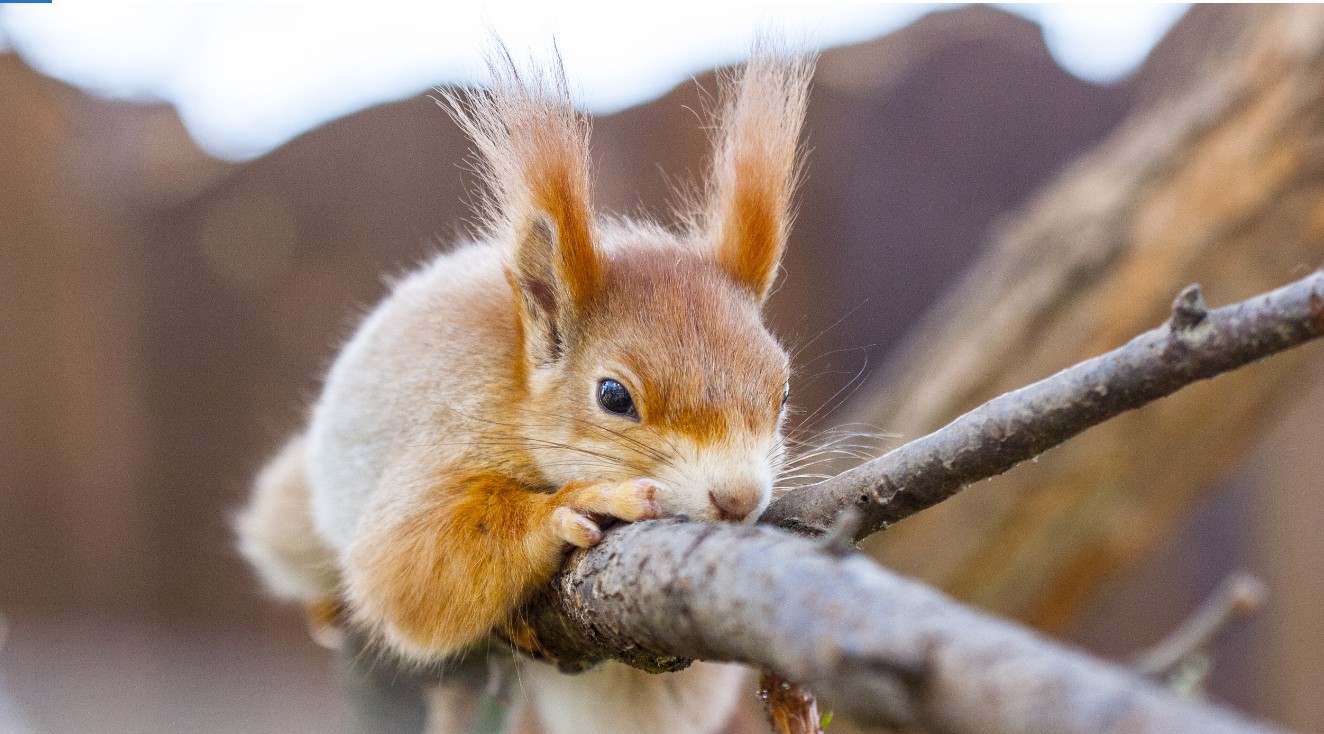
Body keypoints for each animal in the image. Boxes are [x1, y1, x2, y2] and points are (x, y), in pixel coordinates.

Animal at [239, 45, 815, 731]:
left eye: (783, 392)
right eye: (613, 396)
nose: (738, 498)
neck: (517, 392)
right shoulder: (450, 424)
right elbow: (405, 566)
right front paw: (576, 504)